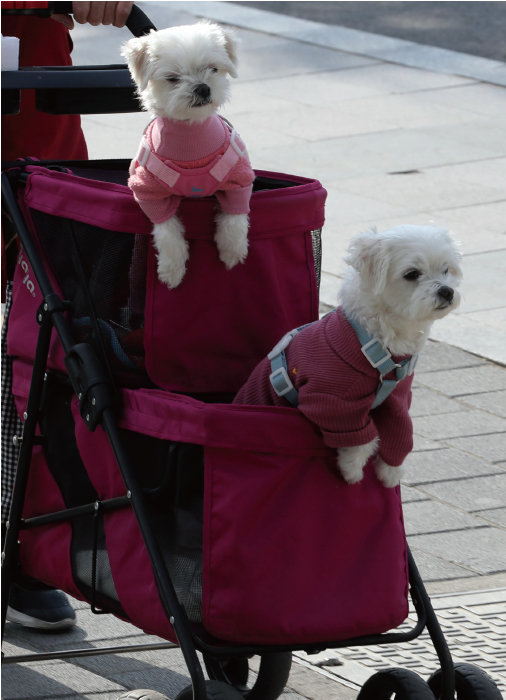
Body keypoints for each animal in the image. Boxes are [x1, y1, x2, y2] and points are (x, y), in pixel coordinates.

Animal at [122, 20, 255, 288]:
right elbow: (167, 229)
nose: (203, 88)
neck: (190, 137)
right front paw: (172, 270)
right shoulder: (149, 190)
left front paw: (232, 250)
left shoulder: (239, 176)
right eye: (173, 78)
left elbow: (235, 217)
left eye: (213, 69)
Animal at [233, 224, 462, 486]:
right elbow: (361, 438)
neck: (374, 340)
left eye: (446, 269)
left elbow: (400, 431)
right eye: (412, 274)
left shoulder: (398, 396)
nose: (447, 291)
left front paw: (390, 472)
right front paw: (352, 471)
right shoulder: (330, 400)